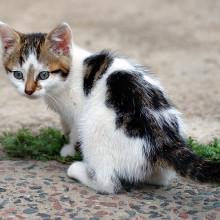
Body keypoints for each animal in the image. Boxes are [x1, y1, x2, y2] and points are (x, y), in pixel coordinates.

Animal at [0, 22, 220, 194]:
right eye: (18, 75)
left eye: (44, 75)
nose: (29, 91)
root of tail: (162, 140)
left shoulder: (78, 113)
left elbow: (74, 131)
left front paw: (69, 149)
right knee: (159, 178)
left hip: (94, 124)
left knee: (109, 183)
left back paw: (78, 170)